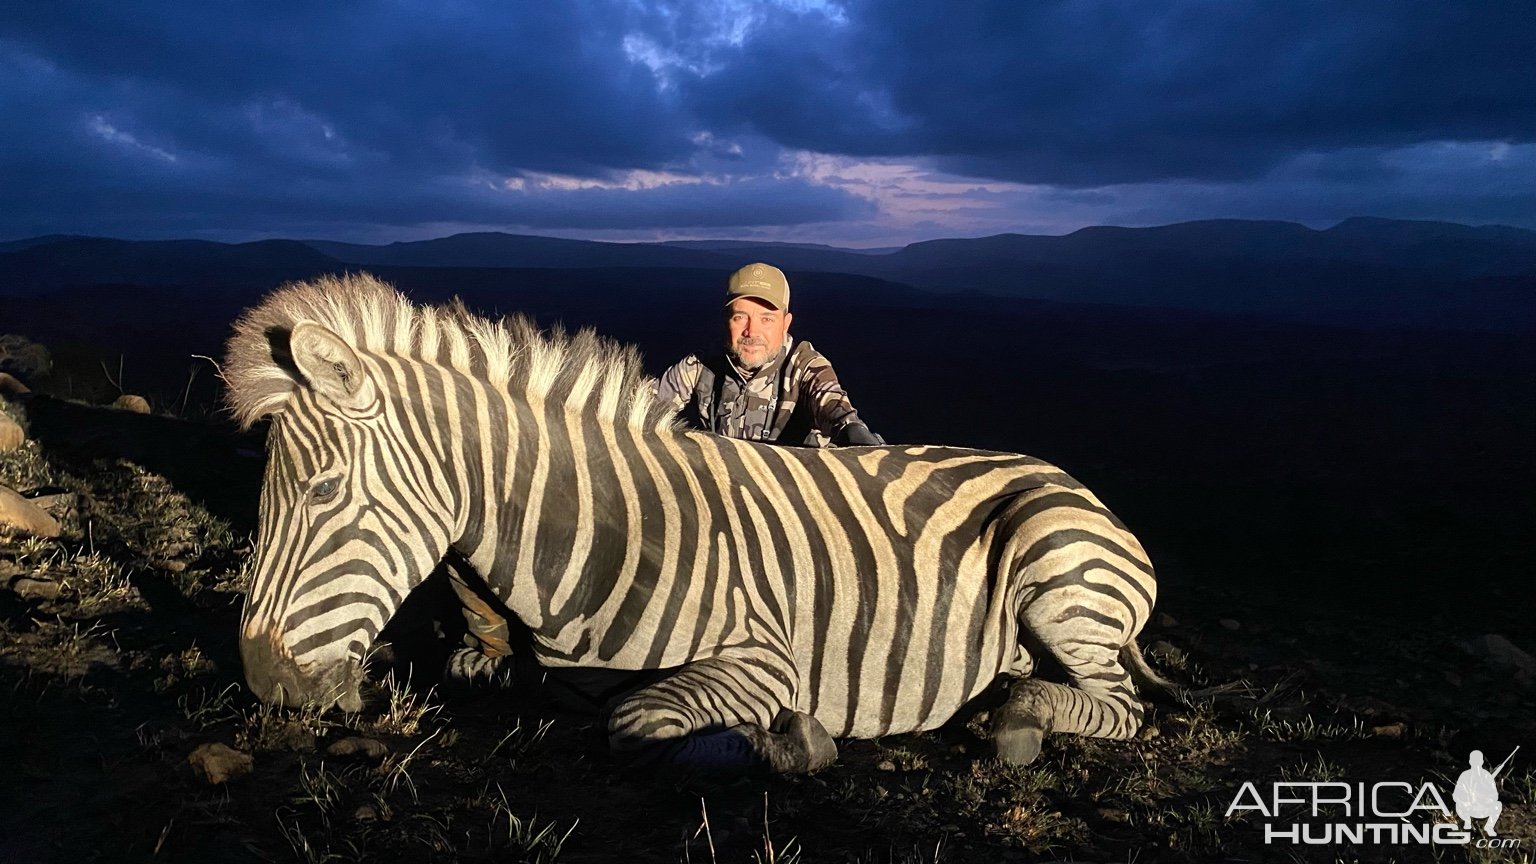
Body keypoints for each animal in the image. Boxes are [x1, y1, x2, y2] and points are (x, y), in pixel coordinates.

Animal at [224, 272, 1161, 768]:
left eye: (320, 493)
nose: (266, 685)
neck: (595, 541)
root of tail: (1072, 484)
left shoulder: (764, 657)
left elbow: (638, 720)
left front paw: (791, 744)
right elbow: (474, 666)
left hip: (1058, 574)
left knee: (1118, 705)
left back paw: (1017, 718)